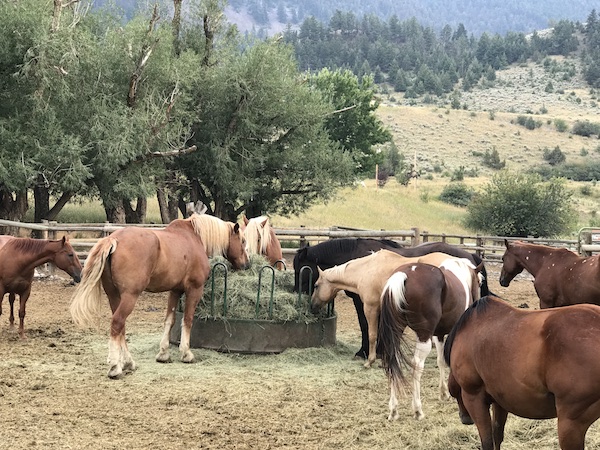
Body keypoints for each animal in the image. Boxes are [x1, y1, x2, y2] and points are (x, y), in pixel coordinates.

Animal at [69, 214, 248, 380]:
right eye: (243, 241)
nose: (247, 264)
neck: (194, 238)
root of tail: (113, 239)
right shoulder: (194, 289)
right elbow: (187, 320)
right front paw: (186, 353)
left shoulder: (175, 291)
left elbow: (170, 320)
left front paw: (163, 353)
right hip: (130, 296)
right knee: (117, 323)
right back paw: (115, 367)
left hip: (114, 296)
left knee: (120, 327)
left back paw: (128, 362)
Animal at [312, 250, 480, 370]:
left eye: (316, 285)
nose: (312, 306)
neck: (367, 269)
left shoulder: (371, 308)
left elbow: (372, 334)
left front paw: (370, 361)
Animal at [378, 260, 480, 422]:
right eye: (480, 282)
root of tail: (404, 275)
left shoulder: (438, 334)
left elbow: (441, 361)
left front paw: (444, 393)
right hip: (423, 336)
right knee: (417, 365)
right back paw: (417, 409)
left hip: (396, 332)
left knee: (393, 361)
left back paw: (393, 410)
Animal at [442, 296, 600, 450]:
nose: (465, 418)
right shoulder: (500, 401)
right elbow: (497, 436)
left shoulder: (474, 398)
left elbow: (487, 442)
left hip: (570, 424)